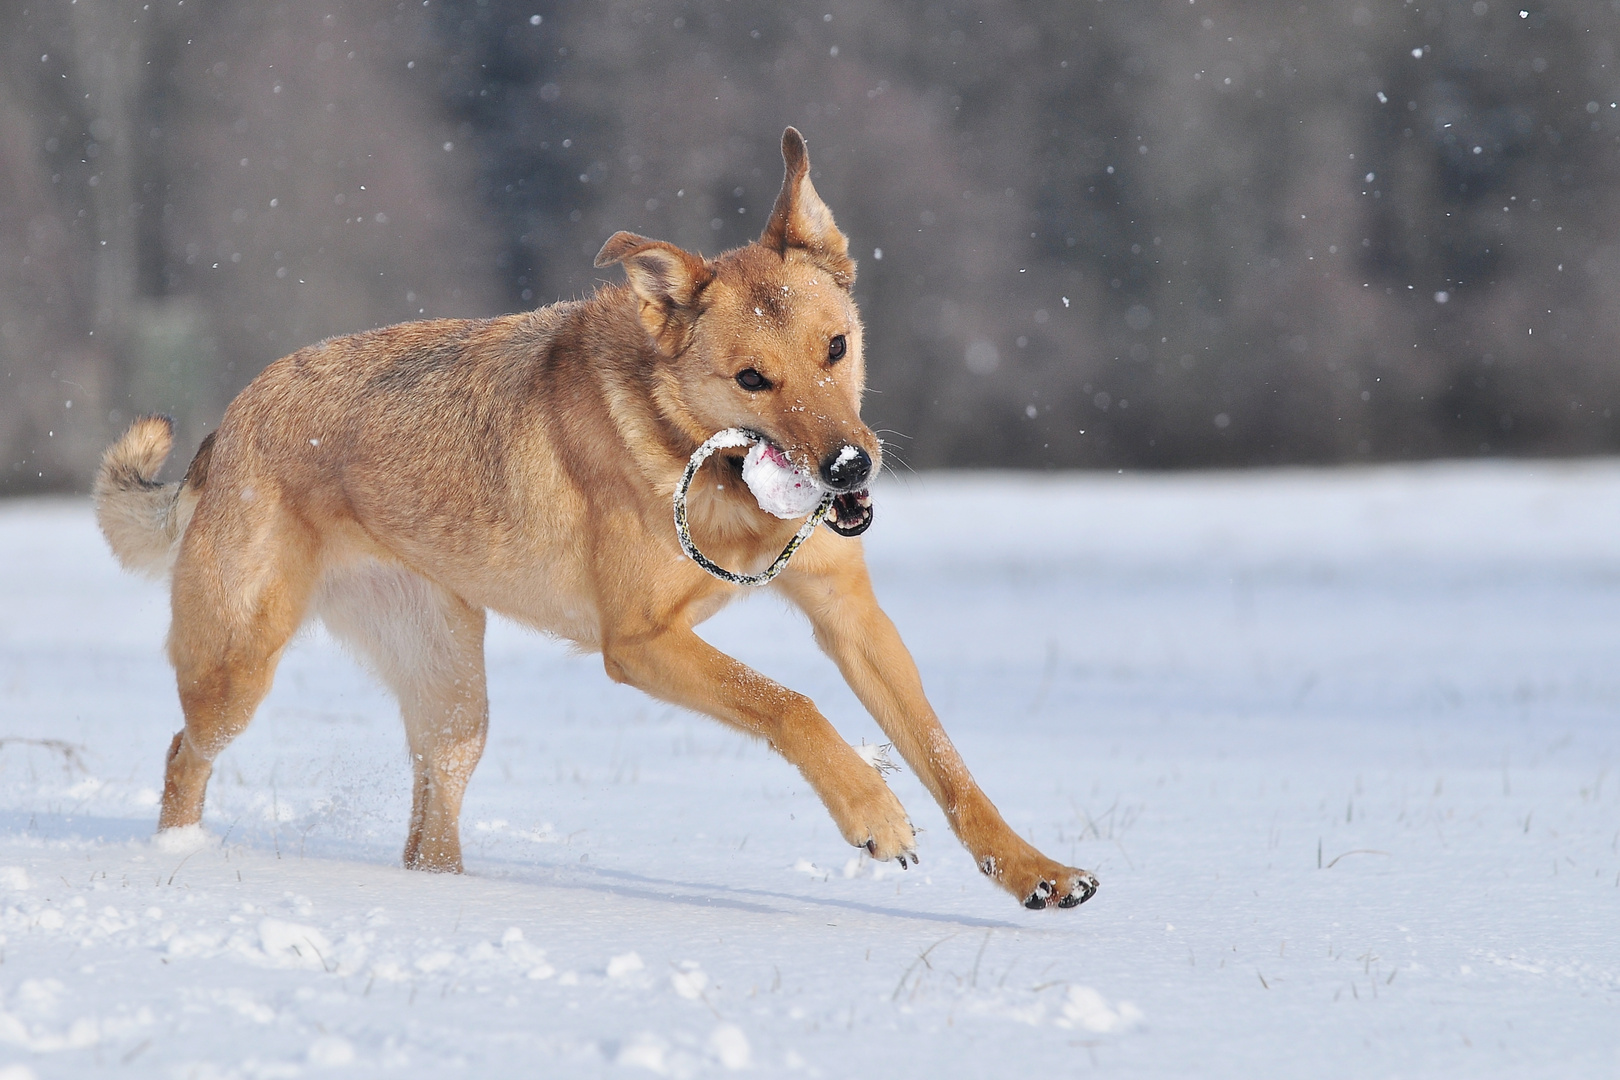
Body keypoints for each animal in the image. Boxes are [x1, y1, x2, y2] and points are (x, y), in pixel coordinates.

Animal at [91, 128, 1101, 913]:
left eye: (836, 347)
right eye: (752, 379)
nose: (848, 468)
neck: (705, 463)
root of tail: (226, 424)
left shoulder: (852, 618)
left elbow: (948, 761)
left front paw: (1034, 872)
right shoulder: (641, 642)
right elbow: (792, 705)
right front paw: (873, 815)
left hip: (454, 700)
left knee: (428, 827)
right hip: (239, 662)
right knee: (184, 753)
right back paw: (178, 861)